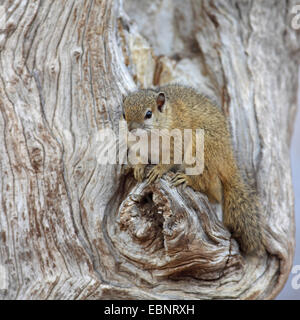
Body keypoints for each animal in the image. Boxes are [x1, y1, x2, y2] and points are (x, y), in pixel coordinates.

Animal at [122, 83, 264, 255]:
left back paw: (187, 179)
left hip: (202, 150)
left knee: (206, 182)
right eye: (124, 114)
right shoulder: (137, 146)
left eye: (148, 114)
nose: (131, 130)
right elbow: (138, 155)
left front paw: (159, 169)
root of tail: (227, 161)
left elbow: (171, 159)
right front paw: (138, 167)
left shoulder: (178, 139)